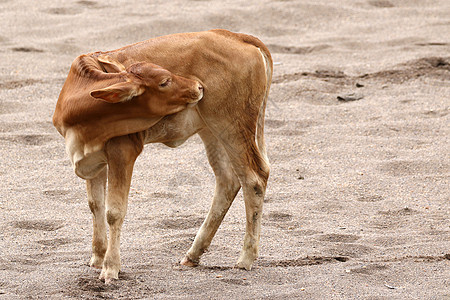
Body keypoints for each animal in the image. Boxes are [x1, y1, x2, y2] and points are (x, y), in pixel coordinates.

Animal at [51, 28, 270, 284]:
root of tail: (236, 35)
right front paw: (97, 258)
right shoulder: (92, 159)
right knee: (228, 180)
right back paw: (193, 254)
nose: (198, 87)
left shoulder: (123, 151)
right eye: (165, 81)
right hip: (211, 130)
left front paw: (110, 267)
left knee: (253, 179)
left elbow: (114, 211)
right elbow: (95, 204)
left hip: (231, 126)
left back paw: (245, 257)